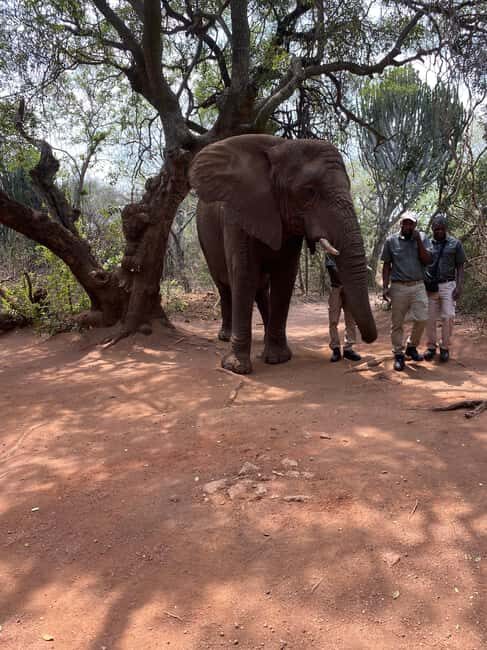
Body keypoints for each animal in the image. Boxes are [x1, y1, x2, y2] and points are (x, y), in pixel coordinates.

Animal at [189, 134, 377, 374]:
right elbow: (244, 273)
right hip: (204, 237)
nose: (366, 342)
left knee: (260, 286)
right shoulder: (237, 213)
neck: (279, 145)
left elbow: (285, 275)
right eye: (309, 191)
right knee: (225, 285)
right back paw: (224, 336)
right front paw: (236, 367)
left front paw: (277, 359)